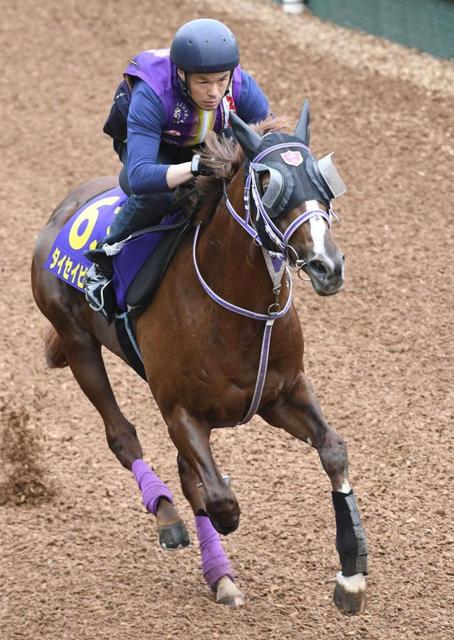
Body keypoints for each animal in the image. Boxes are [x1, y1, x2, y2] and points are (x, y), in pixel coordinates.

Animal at [31, 106, 368, 616]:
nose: (328, 266)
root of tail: (62, 210)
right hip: (76, 341)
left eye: (320, 179)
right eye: (268, 184)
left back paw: (217, 570)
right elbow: (220, 499)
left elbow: (333, 450)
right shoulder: (181, 411)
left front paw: (351, 573)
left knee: (184, 472)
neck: (239, 309)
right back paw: (169, 518)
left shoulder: (284, 392)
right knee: (124, 438)